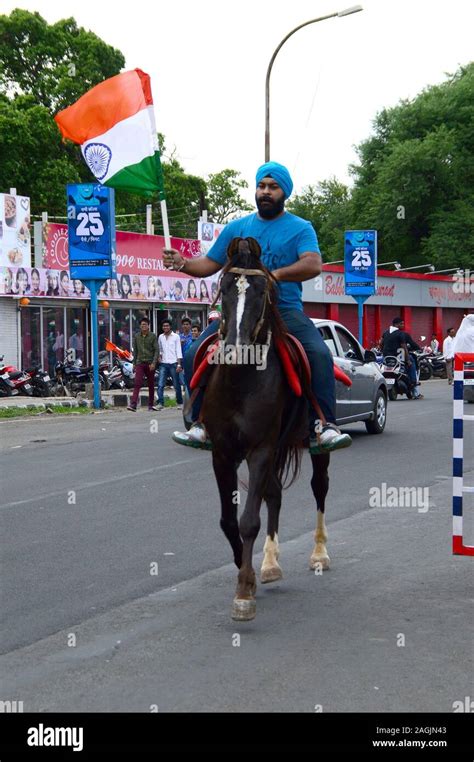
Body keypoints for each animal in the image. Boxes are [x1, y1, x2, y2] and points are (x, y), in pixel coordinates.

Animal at [202, 236, 332, 616]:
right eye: (225, 288)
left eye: (262, 293)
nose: (235, 351)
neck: (240, 381)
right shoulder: (223, 453)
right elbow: (229, 520)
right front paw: (245, 571)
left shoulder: (260, 449)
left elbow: (249, 520)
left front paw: (244, 591)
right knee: (273, 493)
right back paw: (270, 563)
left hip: (313, 447)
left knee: (320, 488)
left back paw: (319, 553)